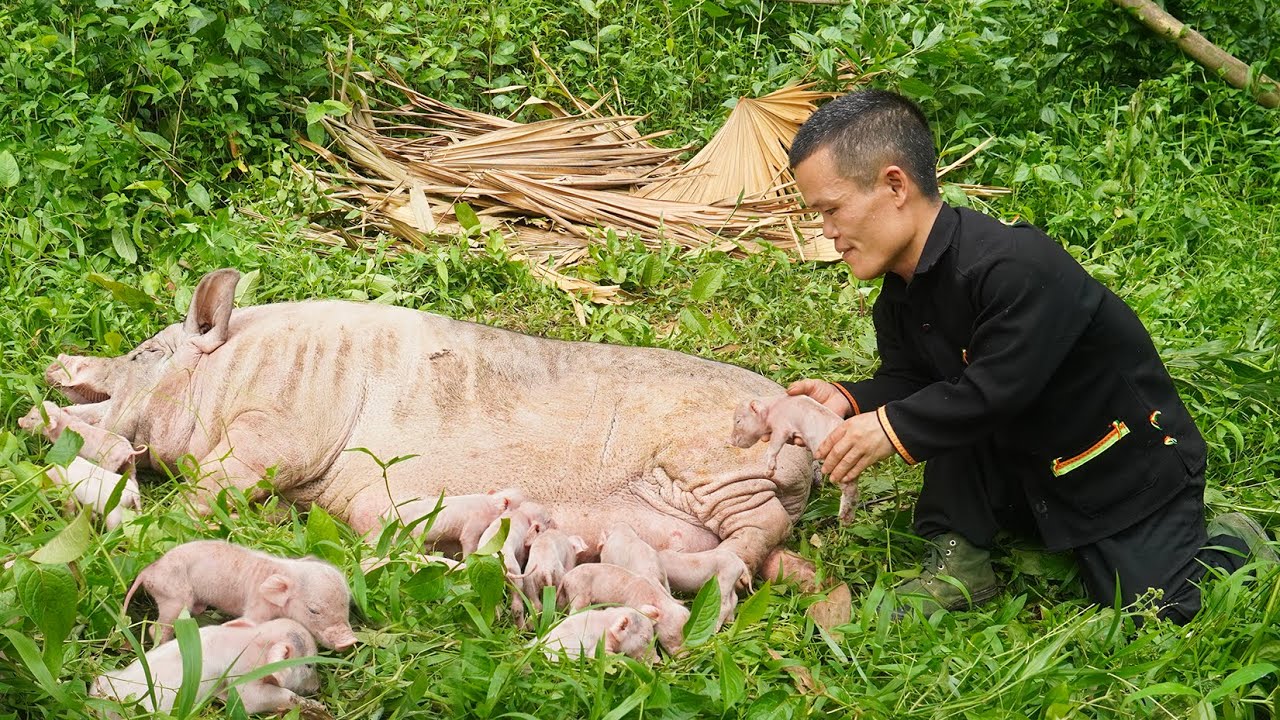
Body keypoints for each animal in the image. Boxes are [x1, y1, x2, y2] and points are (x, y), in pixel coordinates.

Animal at [90, 617, 322, 717]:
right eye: (309, 665)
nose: (318, 686)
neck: (250, 641)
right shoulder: (242, 679)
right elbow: (254, 700)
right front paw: (318, 707)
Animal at [122, 540, 357, 650]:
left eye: (347, 605)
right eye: (314, 610)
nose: (350, 641)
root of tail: (148, 571)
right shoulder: (257, 603)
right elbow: (250, 621)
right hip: (174, 597)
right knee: (156, 628)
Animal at [377, 488, 526, 555]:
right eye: (524, 503)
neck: (491, 506)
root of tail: (388, 511)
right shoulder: (473, 525)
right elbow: (467, 540)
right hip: (399, 531)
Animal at [730, 394, 859, 524]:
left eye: (738, 421)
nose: (730, 441)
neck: (771, 407)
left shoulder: (782, 426)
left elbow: (775, 445)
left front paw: (768, 472)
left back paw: (843, 518)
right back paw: (847, 520)